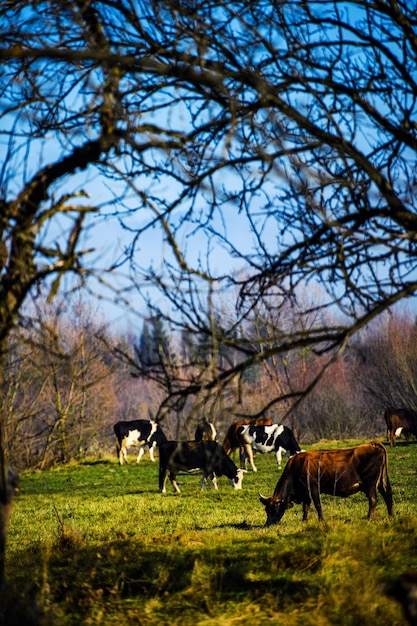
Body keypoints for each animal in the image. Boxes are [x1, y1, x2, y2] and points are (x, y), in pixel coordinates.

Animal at [258, 442, 392, 524]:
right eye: (266, 510)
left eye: (274, 510)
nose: (268, 524)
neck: (297, 466)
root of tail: (372, 443)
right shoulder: (306, 492)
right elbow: (305, 507)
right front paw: (304, 520)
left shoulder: (314, 488)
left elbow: (317, 505)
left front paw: (321, 520)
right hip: (381, 482)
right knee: (388, 497)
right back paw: (391, 515)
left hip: (370, 484)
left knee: (373, 499)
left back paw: (369, 518)